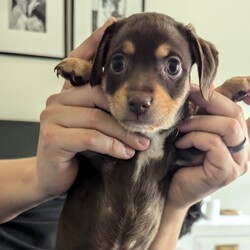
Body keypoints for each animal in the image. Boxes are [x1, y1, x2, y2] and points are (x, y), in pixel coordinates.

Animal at [54, 12, 250, 249]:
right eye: (117, 63)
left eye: (173, 66)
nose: (139, 103)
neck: (148, 135)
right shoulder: (91, 154)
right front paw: (80, 67)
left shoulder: (187, 152)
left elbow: (202, 106)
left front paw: (235, 85)